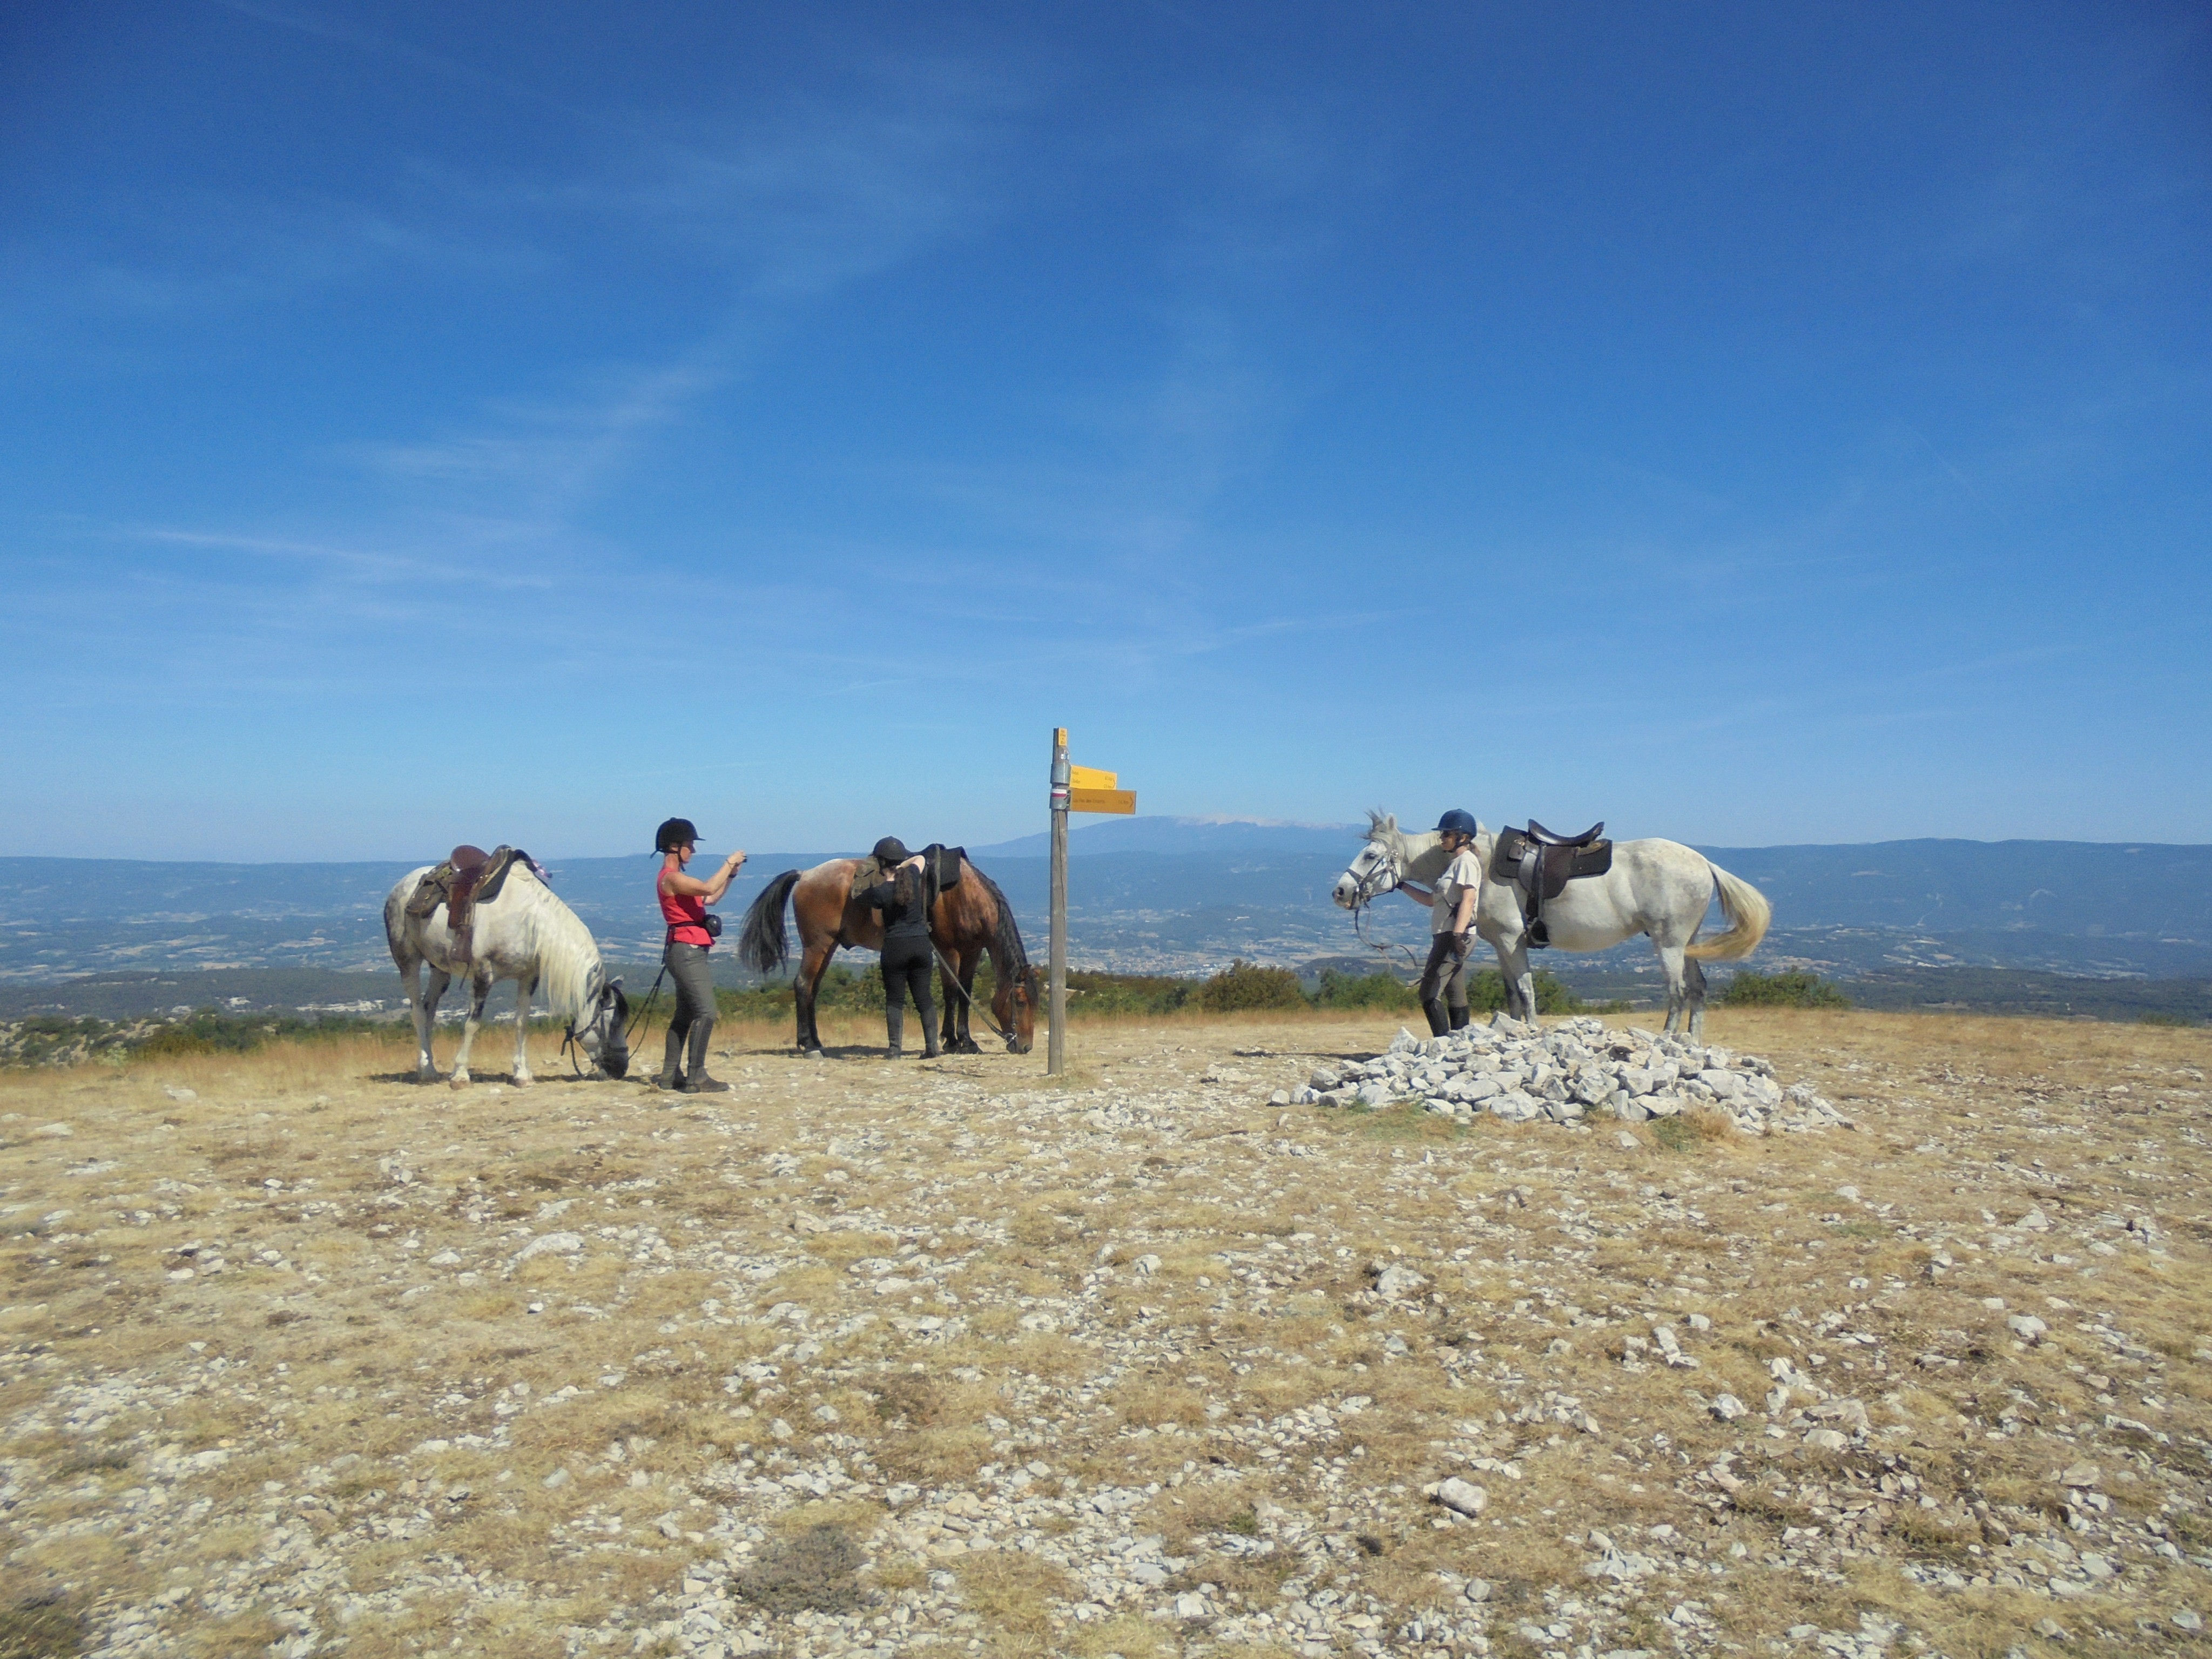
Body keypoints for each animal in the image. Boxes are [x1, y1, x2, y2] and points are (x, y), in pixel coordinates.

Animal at [383, 861, 629, 1087]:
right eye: (610, 1023)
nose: (621, 1068)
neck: (529, 923)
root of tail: (403, 885)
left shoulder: (528, 977)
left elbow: (521, 1022)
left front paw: (522, 1075)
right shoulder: (484, 975)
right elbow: (472, 1023)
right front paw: (461, 1076)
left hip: (440, 969)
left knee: (429, 1009)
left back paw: (429, 1066)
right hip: (408, 960)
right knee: (418, 1012)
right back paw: (426, 1071)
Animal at [738, 855, 1037, 1058]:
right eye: (1020, 1001)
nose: (1025, 1046)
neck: (964, 896)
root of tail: (806, 874)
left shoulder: (972, 951)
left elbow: (965, 994)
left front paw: (967, 1041)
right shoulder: (948, 951)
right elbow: (952, 993)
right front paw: (952, 1041)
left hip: (828, 946)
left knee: (813, 989)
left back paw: (818, 1042)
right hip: (816, 945)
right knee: (802, 985)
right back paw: (809, 1046)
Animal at [1334, 811, 1771, 1039]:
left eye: (1370, 855)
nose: (1340, 892)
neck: (1481, 862)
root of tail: (1703, 861)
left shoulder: (1513, 941)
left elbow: (1527, 992)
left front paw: (1530, 1033)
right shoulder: (1501, 947)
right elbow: (1512, 994)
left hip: (1669, 944)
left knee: (1678, 991)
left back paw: (1666, 1040)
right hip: (1686, 943)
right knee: (1699, 989)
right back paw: (1691, 1044)